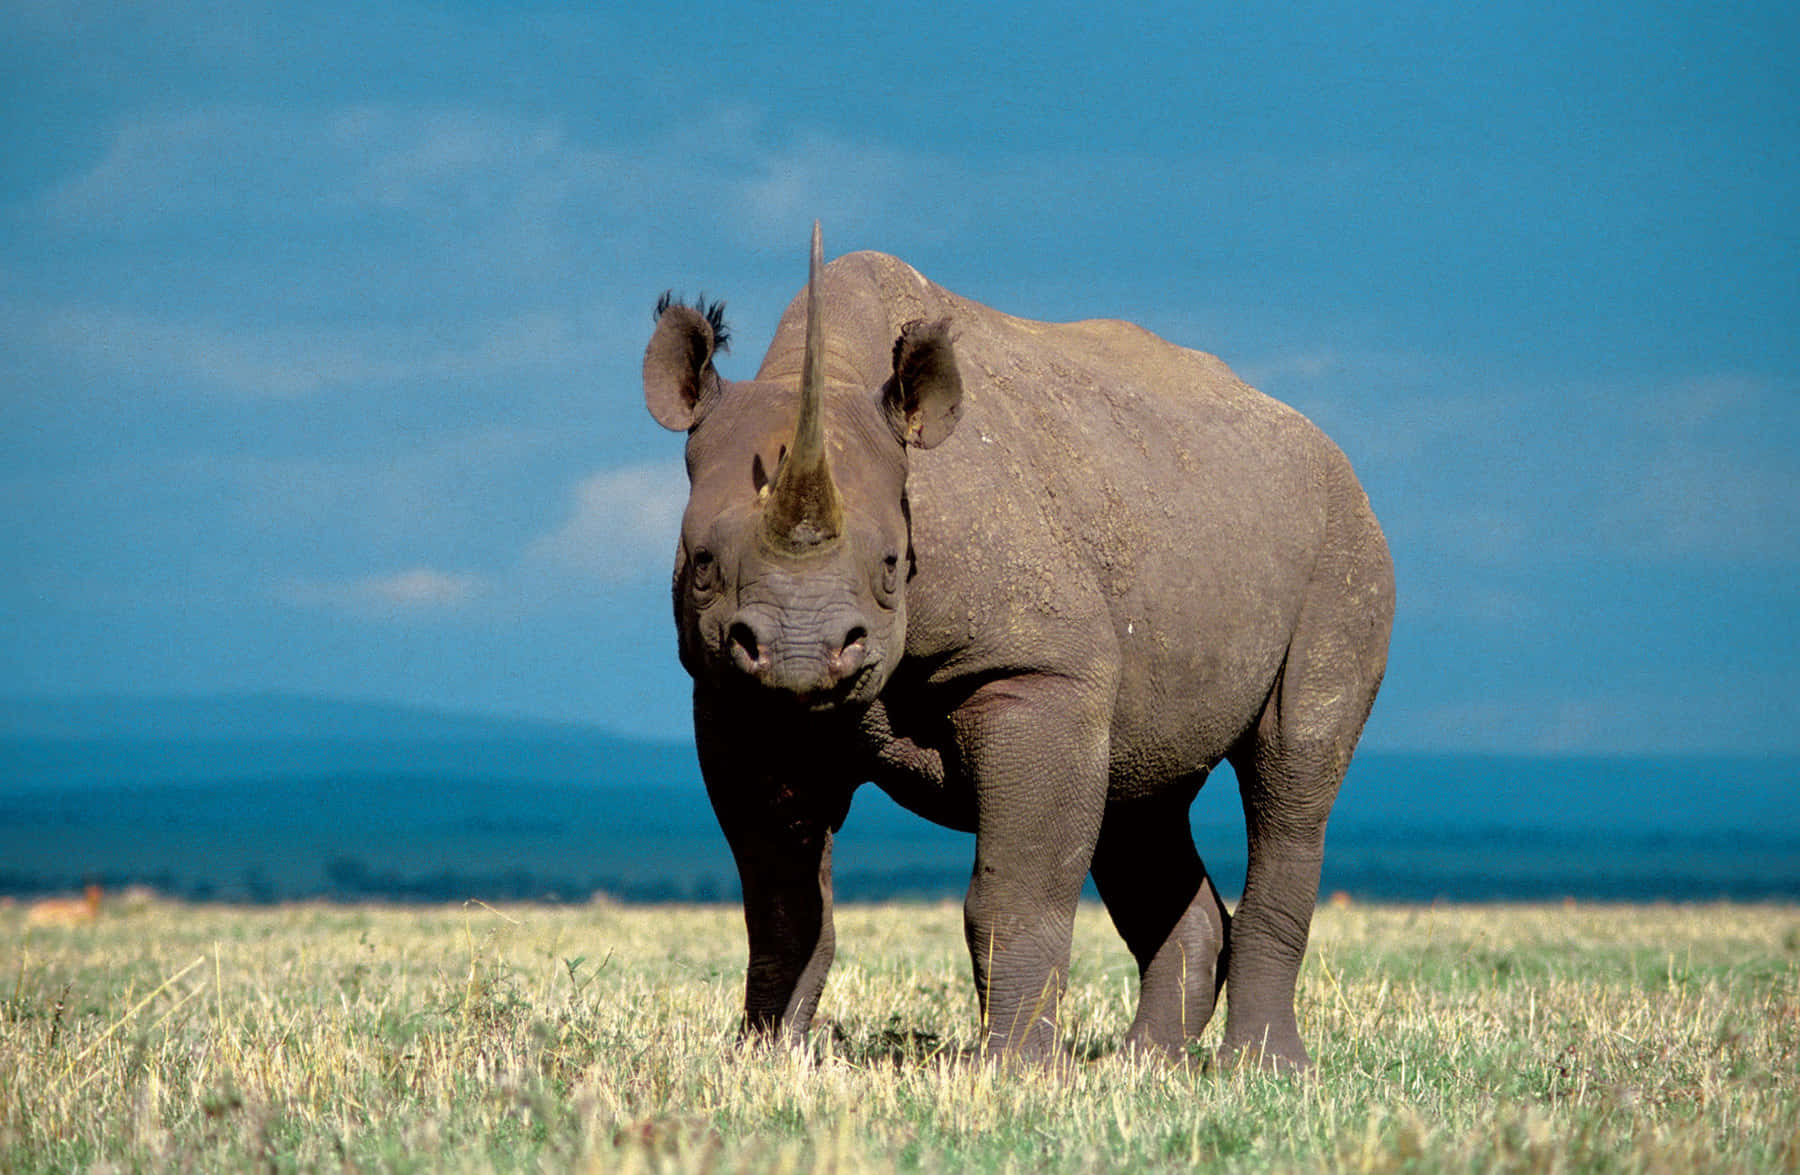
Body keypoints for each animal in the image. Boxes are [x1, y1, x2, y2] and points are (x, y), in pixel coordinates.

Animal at [640, 224, 1396, 1065]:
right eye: (703, 565)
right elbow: (780, 897)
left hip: (1344, 539)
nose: (801, 652)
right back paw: (1146, 1065)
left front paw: (1012, 1070)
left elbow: (1014, 890)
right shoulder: (731, 694)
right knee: (1140, 791)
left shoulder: (1038, 672)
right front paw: (765, 1059)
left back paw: (1262, 1069)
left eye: (892, 567)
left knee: (1291, 771)